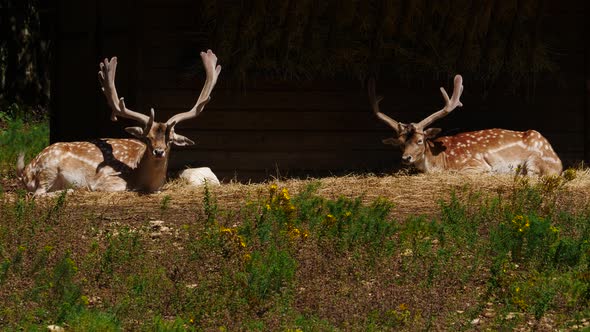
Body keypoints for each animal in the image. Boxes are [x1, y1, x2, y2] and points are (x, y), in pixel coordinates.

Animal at [17, 49, 224, 195]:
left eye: (170, 139)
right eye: (147, 138)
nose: (159, 152)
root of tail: (26, 171)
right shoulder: (106, 180)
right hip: (48, 169)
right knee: (37, 194)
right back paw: (67, 190)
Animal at [370, 74, 564, 175]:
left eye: (420, 140)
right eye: (400, 143)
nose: (406, 158)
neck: (439, 160)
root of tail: (558, 160)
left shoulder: (474, 163)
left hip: (535, 161)